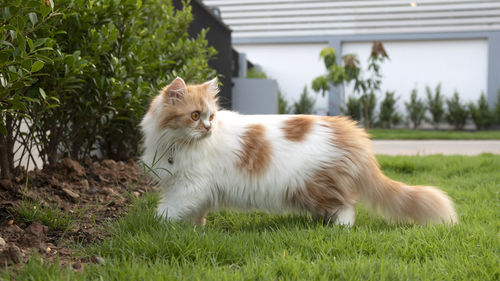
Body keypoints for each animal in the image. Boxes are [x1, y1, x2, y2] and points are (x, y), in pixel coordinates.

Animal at [140, 76, 458, 225]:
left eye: (211, 117)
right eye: (196, 116)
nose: (208, 128)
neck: (173, 144)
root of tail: (350, 129)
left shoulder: (190, 186)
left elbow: (166, 211)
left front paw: (155, 226)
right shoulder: (187, 187)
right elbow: (193, 212)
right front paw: (195, 228)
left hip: (312, 184)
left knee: (348, 205)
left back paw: (339, 227)